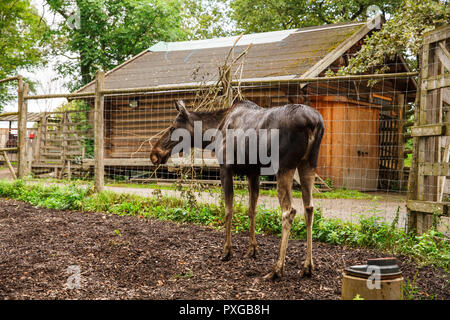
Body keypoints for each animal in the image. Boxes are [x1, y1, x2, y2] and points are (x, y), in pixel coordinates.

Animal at [150, 99, 324, 278]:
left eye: (172, 127)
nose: (154, 154)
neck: (213, 135)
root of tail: (314, 123)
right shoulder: (253, 172)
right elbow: (251, 210)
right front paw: (252, 249)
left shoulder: (226, 168)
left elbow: (228, 210)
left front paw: (227, 251)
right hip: (309, 163)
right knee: (309, 208)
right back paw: (307, 266)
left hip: (284, 166)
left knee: (289, 211)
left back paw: (277, 269)